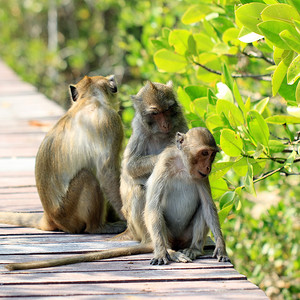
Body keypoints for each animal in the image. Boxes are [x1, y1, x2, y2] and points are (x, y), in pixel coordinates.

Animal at [0, 74, 125, 234]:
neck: (89, 99)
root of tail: (49, 217)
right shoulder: (110, 121)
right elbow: (107, 173)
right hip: (68, 213)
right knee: (87, 176)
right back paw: (97, 228)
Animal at [5, 126, 230, 272]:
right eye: (204, 153)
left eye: (211, 155)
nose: (208, 166)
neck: (183, 166)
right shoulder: (164, 164)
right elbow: (153, 207)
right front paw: (161, 252)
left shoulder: (202, 178)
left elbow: (209, 206)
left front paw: (221, 247)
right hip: (167, 233)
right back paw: (168, 250)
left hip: (184, 235)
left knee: (201, 209)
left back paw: (193, 249)